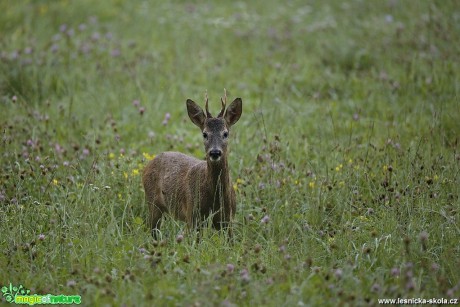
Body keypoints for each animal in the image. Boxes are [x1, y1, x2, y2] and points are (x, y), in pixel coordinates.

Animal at [142, 90, 243, 239]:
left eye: (225, 133)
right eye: (204, 134)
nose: (215, 152)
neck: (215, 198)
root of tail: (150, 162)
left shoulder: (228, 219)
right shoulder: (193, 215)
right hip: (153, 203)